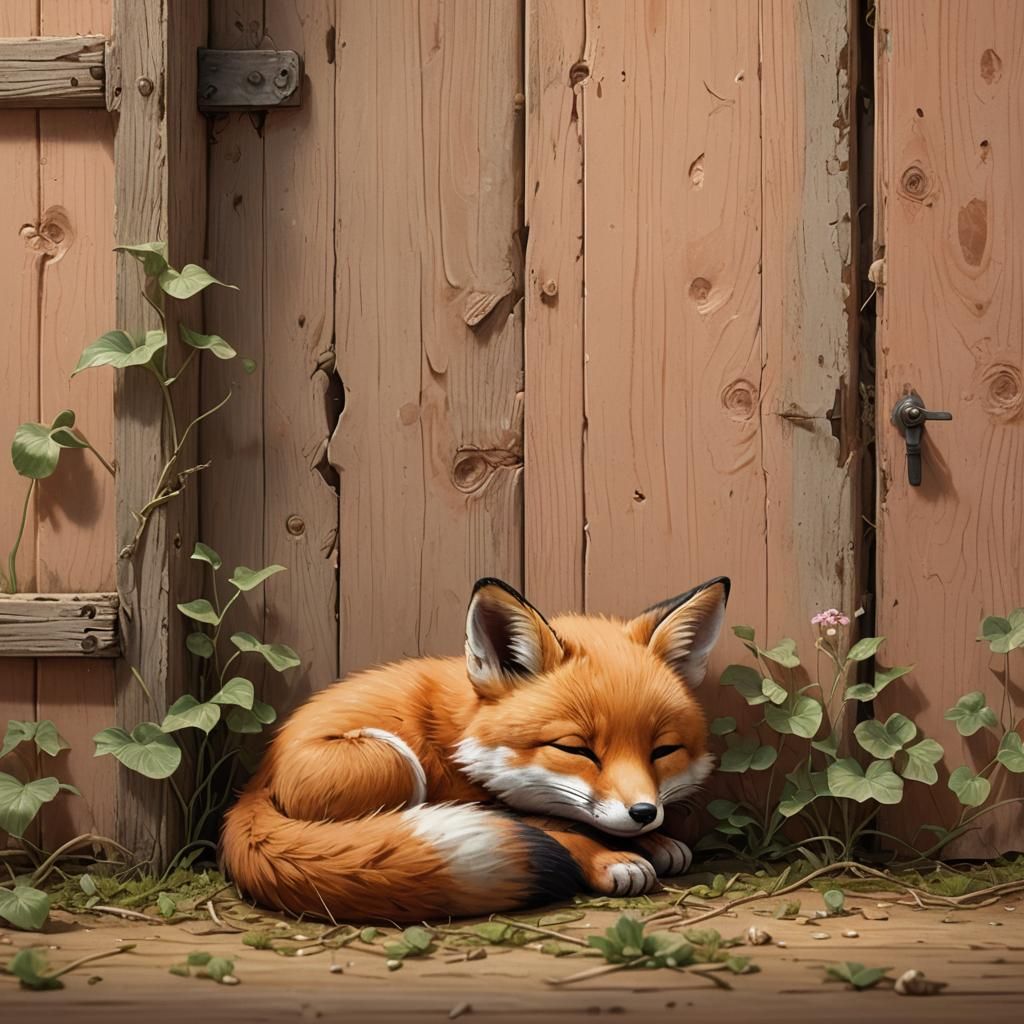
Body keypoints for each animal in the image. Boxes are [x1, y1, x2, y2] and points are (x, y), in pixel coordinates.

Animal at [220, 574, 729, 922]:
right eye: (576, 750)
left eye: (663, 750)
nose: (644, 813)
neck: (460, 735)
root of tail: (257, 777)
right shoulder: (469, 795)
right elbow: (559, 830)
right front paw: (610, 857)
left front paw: (653, 841)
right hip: (390, 760)